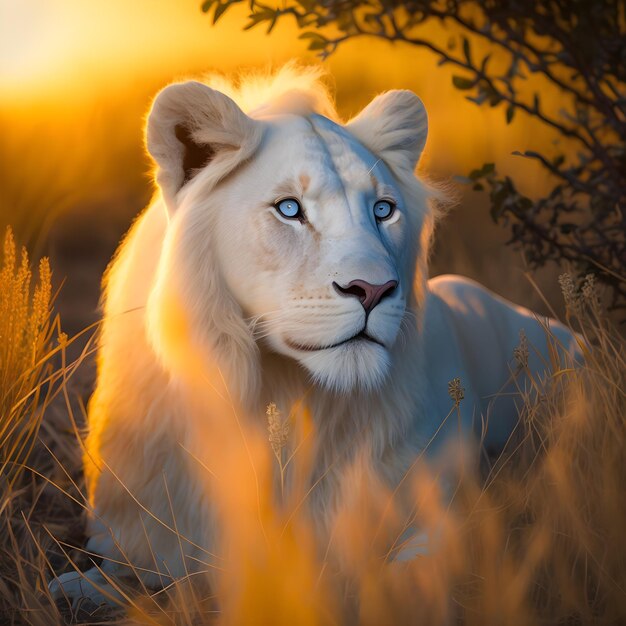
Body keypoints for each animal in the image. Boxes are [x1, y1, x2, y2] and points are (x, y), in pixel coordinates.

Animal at [48, 66, 576, 604]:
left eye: (383, 210)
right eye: (289, 209)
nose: (374, 289)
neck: (282, 396)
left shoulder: (445, 515)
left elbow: (402, 575)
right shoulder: (146, 532)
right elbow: (117, 576)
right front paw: (76, 585)